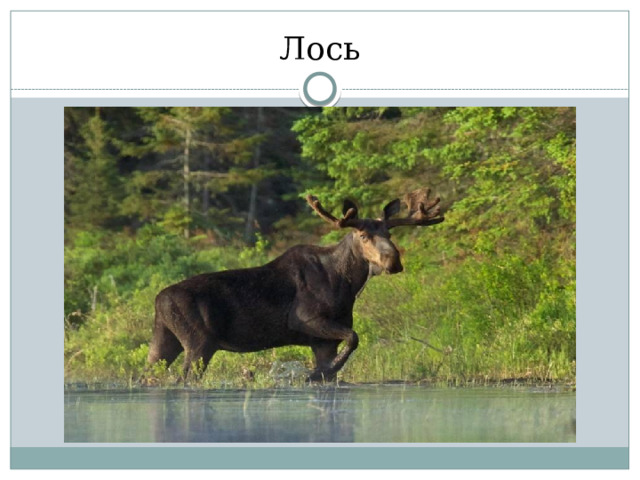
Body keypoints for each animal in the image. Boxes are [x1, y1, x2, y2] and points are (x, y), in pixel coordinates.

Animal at [147, 188, 444, 383]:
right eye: (362, 235)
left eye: (389, 234)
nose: (393, 261)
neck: (347, 285)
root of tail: (158, 301)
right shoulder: (304, 319)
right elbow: (354, 337)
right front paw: (316, 373)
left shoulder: (322, 342)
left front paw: (322, 373)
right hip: (199, 343)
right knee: (183, 380)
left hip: (165, 340)